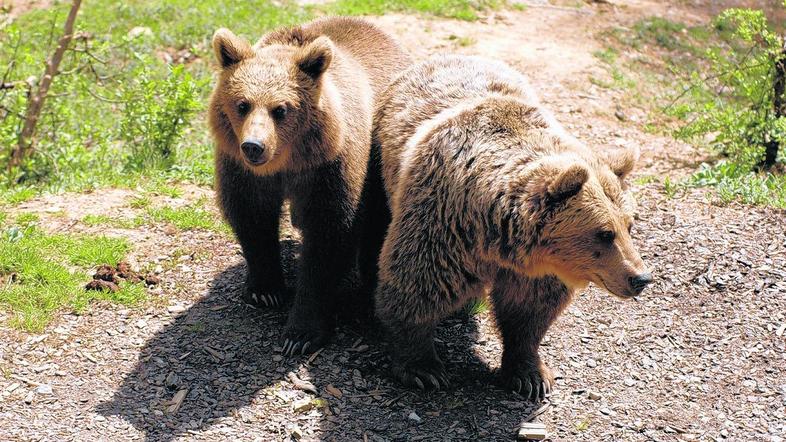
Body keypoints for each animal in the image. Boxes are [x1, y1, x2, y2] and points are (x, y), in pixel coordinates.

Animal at [211, 17, 410, 356]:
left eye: (281, 109)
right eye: (242, 104)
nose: (254, 146)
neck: (286, 164)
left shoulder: (330, 169)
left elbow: (327, 237)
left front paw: (301, 333)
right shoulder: (243, 171)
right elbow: (251, 218)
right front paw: (266, 289)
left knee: (378, 225)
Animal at [370, 54, 652, 398]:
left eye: (629, 225)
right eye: (604, 233)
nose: (640, 277)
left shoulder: (539, 268)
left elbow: (528, 312)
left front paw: (530, 374)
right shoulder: (442, 225)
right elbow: (418, 283)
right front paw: (423, 368)